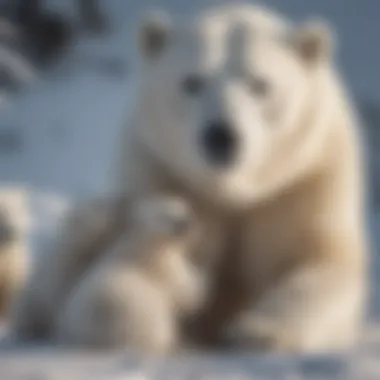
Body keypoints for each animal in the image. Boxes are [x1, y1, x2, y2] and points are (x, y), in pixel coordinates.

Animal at [55, 196, 206, 354]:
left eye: (183, 209)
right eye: (164, 216)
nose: (185, 223)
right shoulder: (164, 267)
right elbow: (188, 295)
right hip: (142, 316)